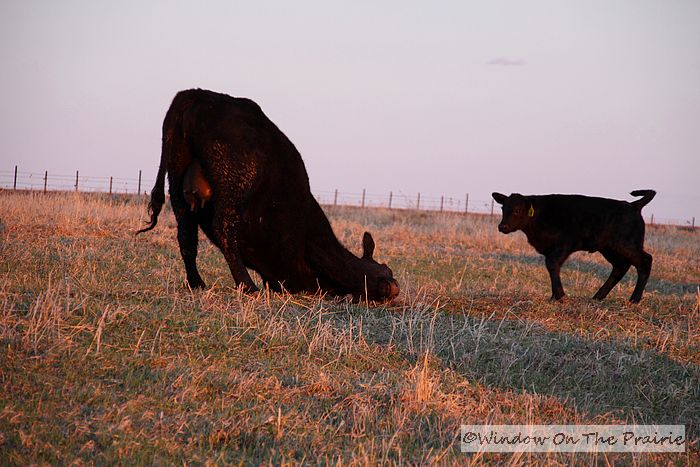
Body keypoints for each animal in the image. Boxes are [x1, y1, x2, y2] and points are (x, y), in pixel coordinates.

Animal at [137, 89, 399, 302]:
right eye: (385, 273)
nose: (395, 287)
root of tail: (195, 94)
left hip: (177, 178)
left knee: (186, 234)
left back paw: (197, 284)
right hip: (236, 181)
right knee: (223, 228)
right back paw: (247, 286)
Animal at [491, 190, 656, 303]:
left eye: (517, 210)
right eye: (503, 209)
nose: (502, 226)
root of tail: (633, 205)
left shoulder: (564, 244)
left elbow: (552, 264)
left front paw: (559, 296)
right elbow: (552, 267)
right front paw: (554, 296)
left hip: (626, 245)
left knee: (645, 261)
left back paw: (634, 299)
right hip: (609, 248)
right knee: (620, 267)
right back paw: (598, 297)